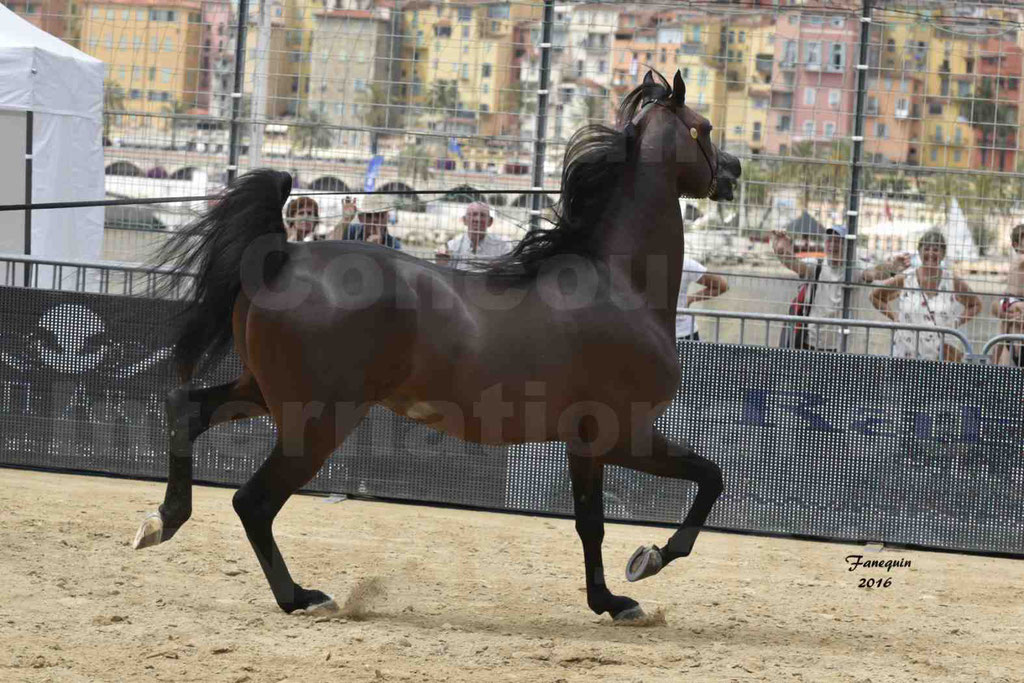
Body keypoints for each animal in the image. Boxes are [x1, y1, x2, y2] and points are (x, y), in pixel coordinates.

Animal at [136, 70, 745, 626]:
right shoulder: (622, 433)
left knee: (186, 409)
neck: (620, 285)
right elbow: (708, 477)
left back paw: (162, 521)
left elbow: (591, 523)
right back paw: (301, 597)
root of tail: (282, 255)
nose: (735, 173)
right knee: (253, 501)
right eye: (705, 128)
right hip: (317, 421)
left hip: (263, 393)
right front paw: (647, 564)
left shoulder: (584, 443)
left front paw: (612, 599)